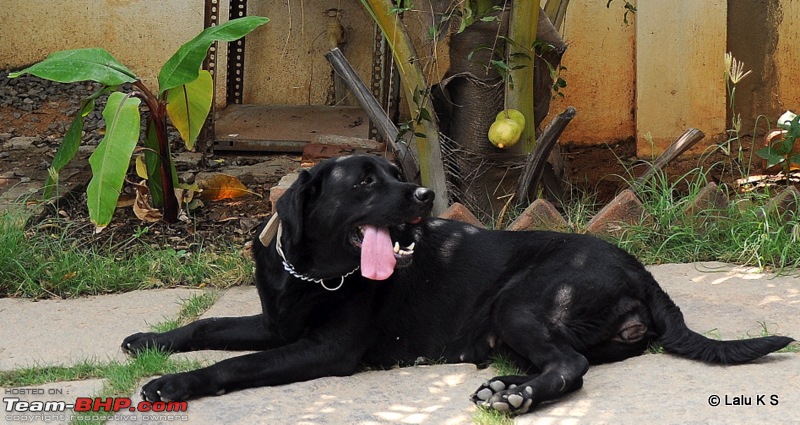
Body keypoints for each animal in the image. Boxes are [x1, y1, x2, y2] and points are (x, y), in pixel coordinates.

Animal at [125, 154, 792, 412]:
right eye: (364, 181)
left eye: (396, 172)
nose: (423, 195)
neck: (313, 275)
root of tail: (643, 272)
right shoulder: (273, 323)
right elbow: (208, 323)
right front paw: (150, 340)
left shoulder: (322, 349)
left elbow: (235, 364)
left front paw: (171, 383)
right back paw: (508, 386)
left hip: (518, 303)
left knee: (570, 364)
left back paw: (511, 398)